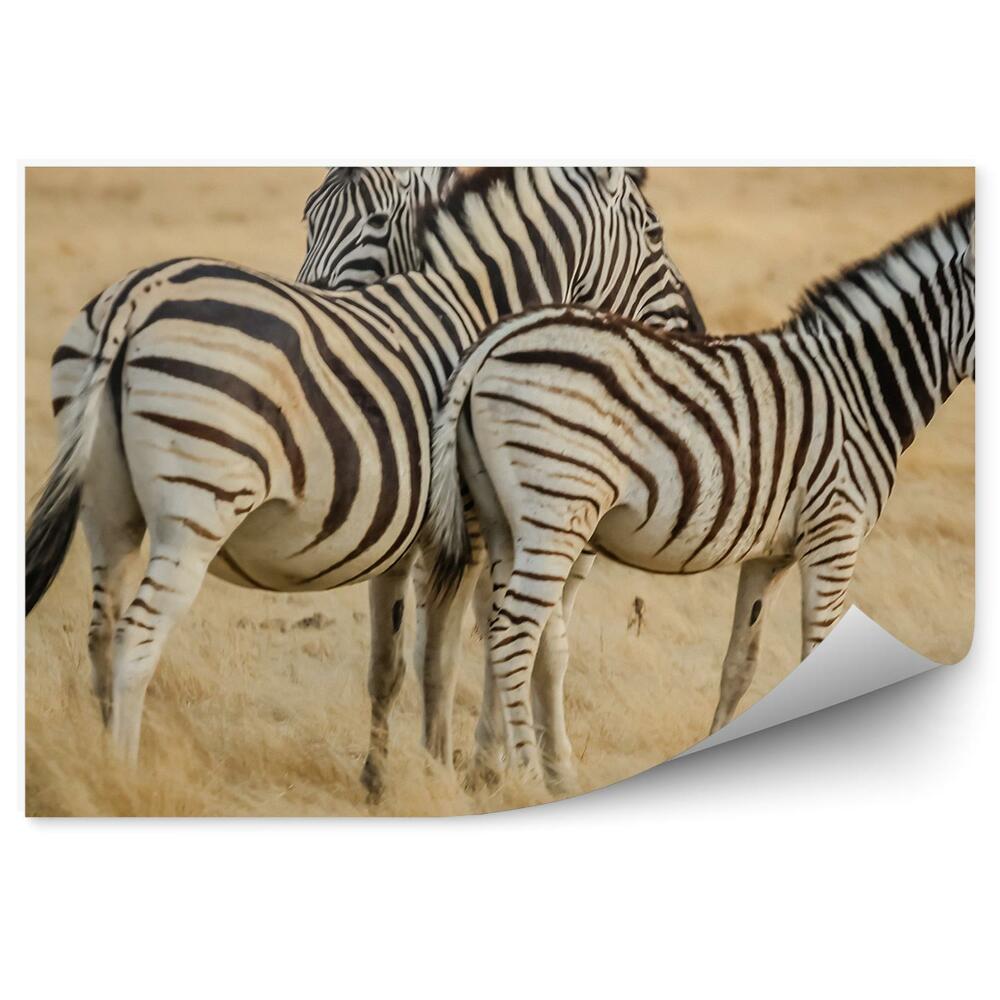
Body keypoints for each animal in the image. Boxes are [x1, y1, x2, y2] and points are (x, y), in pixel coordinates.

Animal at [25, 167, 704, 801]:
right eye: (656, 233)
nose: (693, 328)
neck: (480, 308)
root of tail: (136, 296)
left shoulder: (400, 540)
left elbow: (390, 665)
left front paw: (381, 781)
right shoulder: (466, 533)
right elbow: (445, 659)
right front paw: (449, 771)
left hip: (106, 511)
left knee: (100, 634)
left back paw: (97, 768)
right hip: (195, 512)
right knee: (135, 640)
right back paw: (125, 778)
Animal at [425, 202, 974, 789]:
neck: (861, 388)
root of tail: (496, 339)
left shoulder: (772, 553)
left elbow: (740, 663)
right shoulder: (835, 530)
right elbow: (817, 649)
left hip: (503, 517)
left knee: (508, 626)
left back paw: (510, 771)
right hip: (558, 506)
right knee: (514, 637)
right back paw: (529, 779)